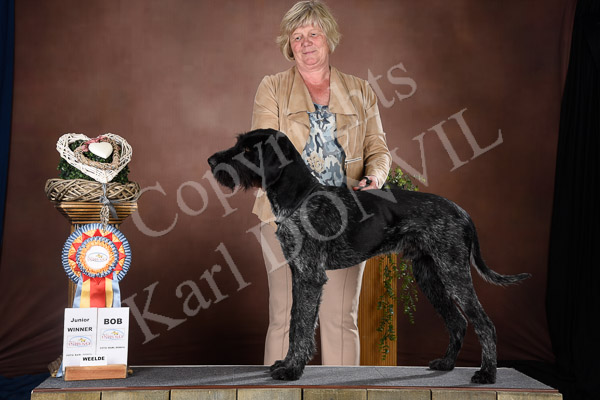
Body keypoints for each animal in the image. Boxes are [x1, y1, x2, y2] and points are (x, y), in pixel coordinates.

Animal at [208, 128, 531, 384]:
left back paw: (487, 374)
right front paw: (287, 363)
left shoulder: (310, 276)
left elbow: (301, 327)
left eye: (248, 149)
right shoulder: (298, 274)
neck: (300, 197)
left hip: (453, 272)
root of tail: (462, 212)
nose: (211, 160)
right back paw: (447, 364)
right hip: (430, 276)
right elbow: (295, 322)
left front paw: (292, 370)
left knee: (483, 323)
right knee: (457, 322)